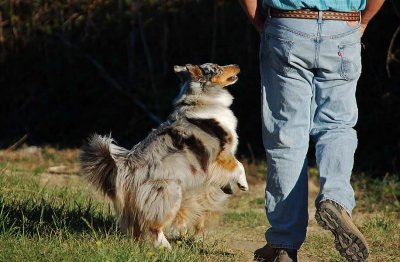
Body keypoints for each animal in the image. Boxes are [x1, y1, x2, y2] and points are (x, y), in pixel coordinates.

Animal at [79, 62, 248, 249]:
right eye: (218, 67)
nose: (237, 65)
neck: (201, 99)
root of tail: (125, 167)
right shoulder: (221, 154)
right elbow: (239, 165)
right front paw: (243, 184)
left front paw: (228, 186)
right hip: (169, 194)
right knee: (155, 225)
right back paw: (166, 247)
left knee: (138, 228)